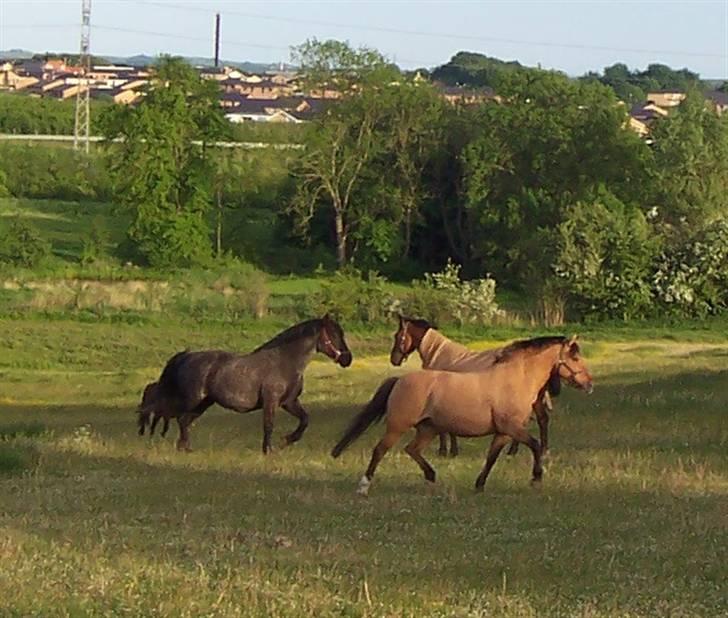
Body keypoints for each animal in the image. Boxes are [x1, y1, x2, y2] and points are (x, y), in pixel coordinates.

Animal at [139, 316, 352, 450]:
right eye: (334, 335)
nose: (347, 359)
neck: (284, 361)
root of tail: (187, 356)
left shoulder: (289, 402)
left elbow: (304, 420)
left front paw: (286, 441)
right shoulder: (271, 401)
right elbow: (269, 425)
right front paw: (269, 450)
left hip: (204, 403)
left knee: (183, 421)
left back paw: (185, 448)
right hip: (191, 400)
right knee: (172, 416)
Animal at [332, 334, 596, 494]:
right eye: (574, 356)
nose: (589, 384)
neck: (515, 379)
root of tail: (400, 380)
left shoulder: (503, 433)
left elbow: (491, 457)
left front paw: (479, 485)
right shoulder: (512, 429)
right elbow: (535, 445)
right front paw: (536, 478)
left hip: (428, 429)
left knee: (412, 449)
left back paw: (431, 476)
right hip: (398, 426)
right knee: (380, 450)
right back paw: (364, 486)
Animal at [392, 316, 552, 454]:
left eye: (398, 336)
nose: (394, 359)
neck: (439, 354)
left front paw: (445, 451)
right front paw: (452, 451)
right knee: (541, 420)